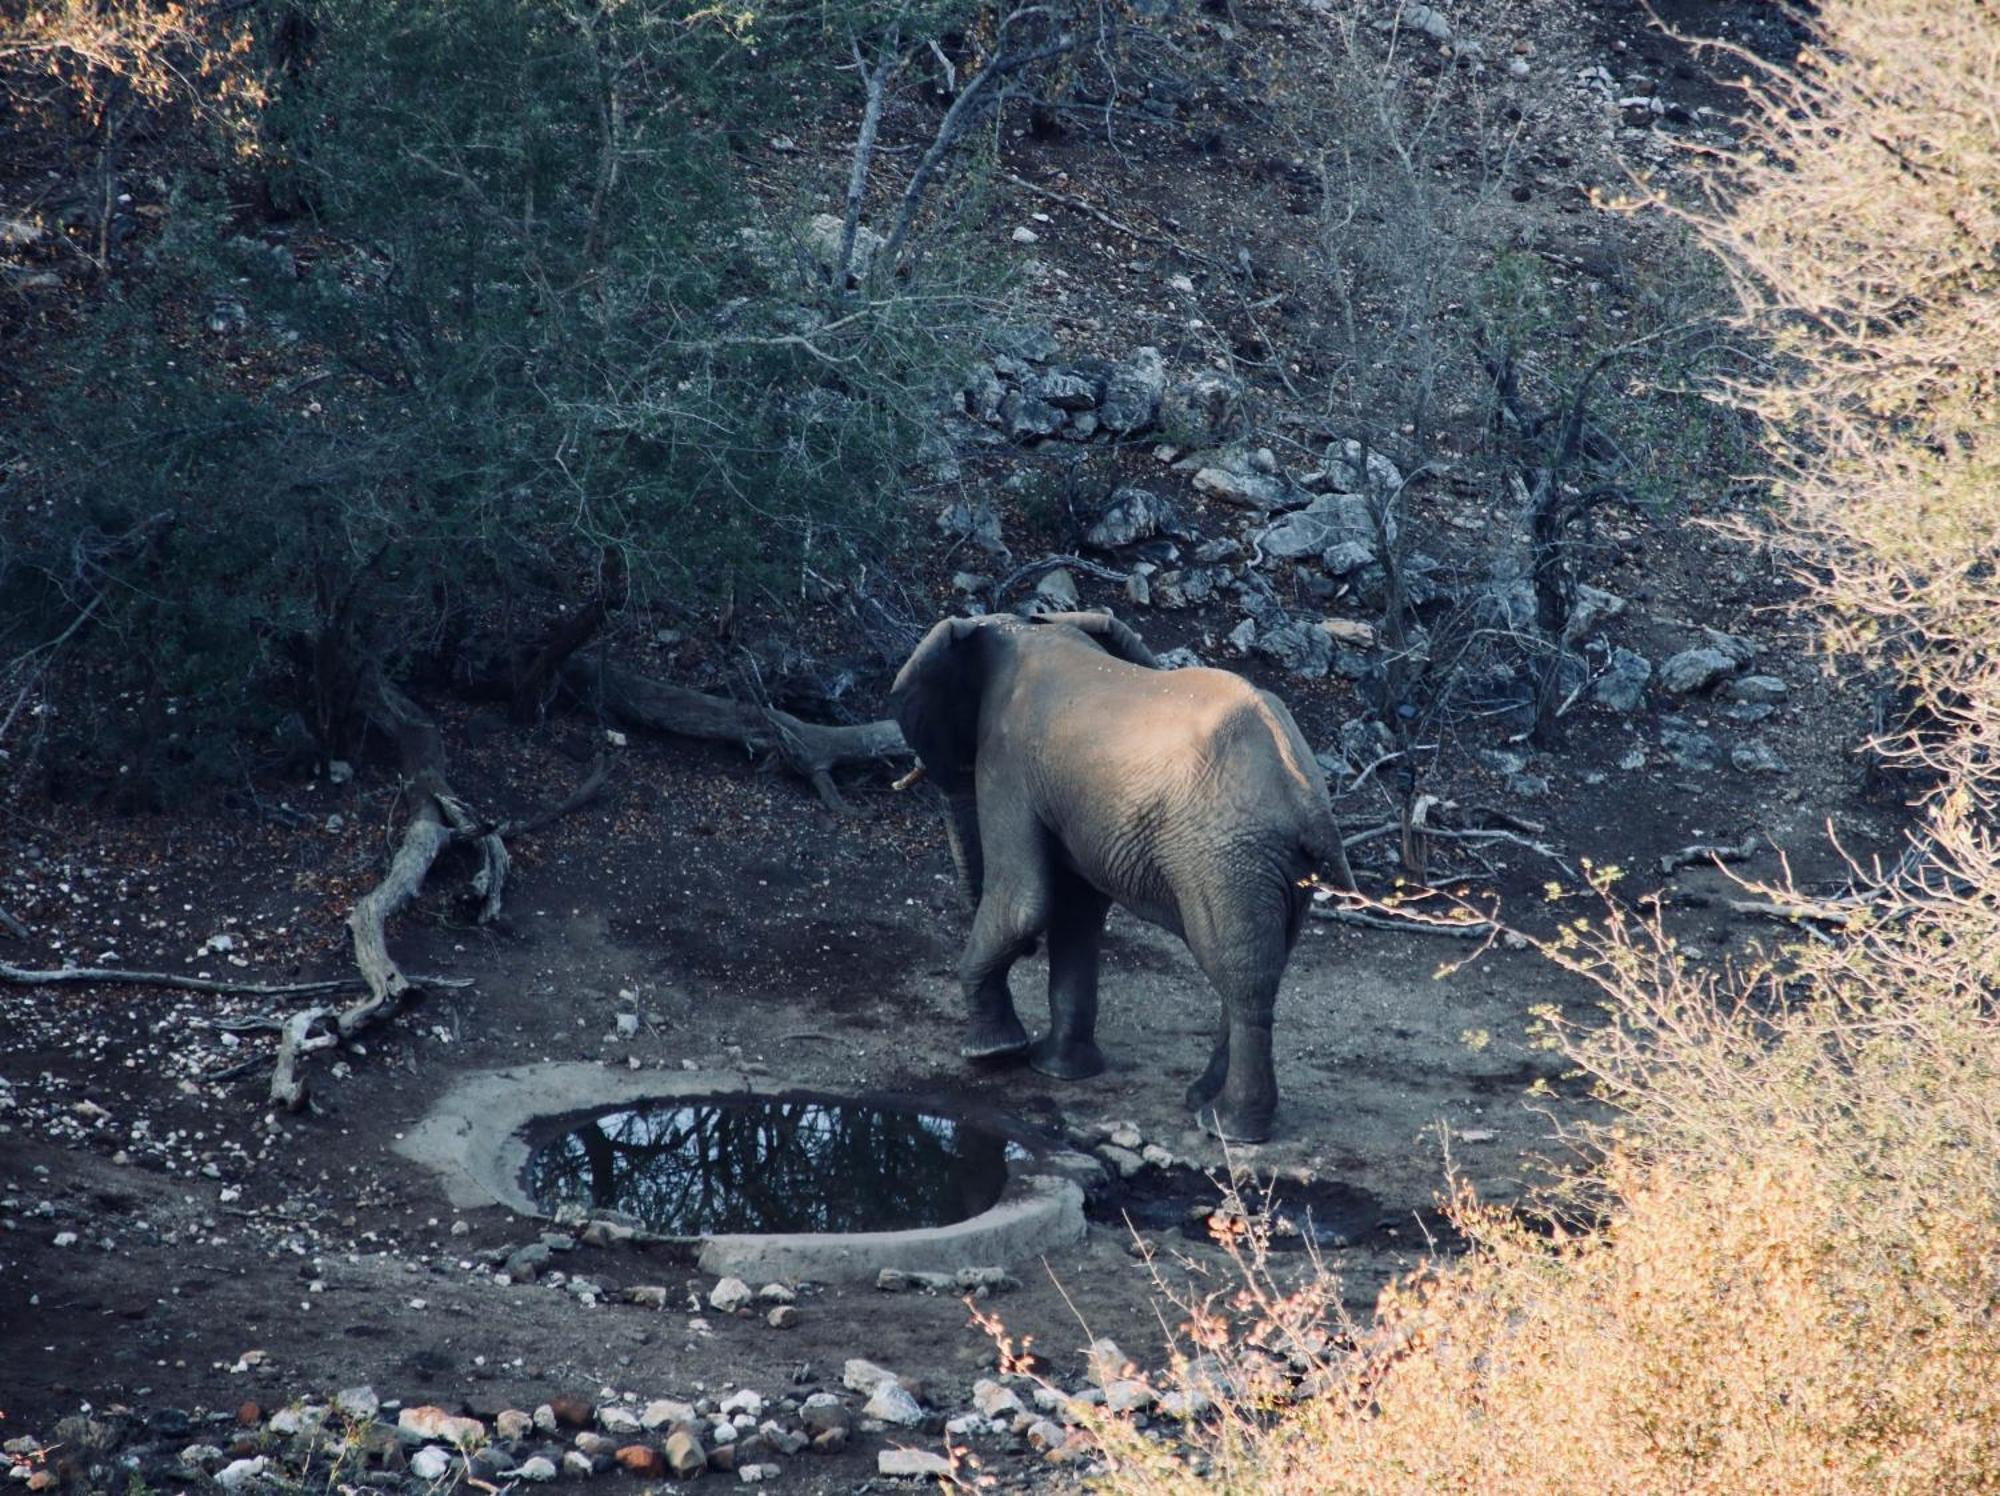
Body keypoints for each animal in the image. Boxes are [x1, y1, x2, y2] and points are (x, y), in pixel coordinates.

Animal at [896, 612, 1352, 1144]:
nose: (1028, 953)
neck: (1020, 626)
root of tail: (1305, 790)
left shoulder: (1006, 763)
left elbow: (1024, 901)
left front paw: (991, 1055)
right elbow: (1075, 911)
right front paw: (1055, 1071)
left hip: (1228, 857)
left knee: (1241, 978)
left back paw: (1228, 1128)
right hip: (1279, 868)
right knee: (1254, 967)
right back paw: (1203, 1105)